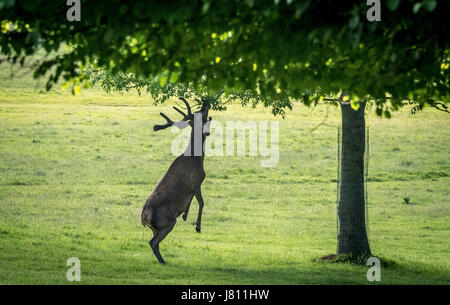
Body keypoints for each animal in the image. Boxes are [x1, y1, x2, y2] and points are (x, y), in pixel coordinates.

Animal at [140, 98, 212, 264]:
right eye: (201, 113)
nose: (206, 101)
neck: (197, 158)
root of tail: (144, 219)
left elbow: (193, 202)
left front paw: (185, 214)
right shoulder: (196, 181)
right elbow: (201, 202)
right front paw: (197, 226)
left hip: (156, 228)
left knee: (153, 240)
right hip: (167, 221)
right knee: (153, 242)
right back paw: (163, 261)